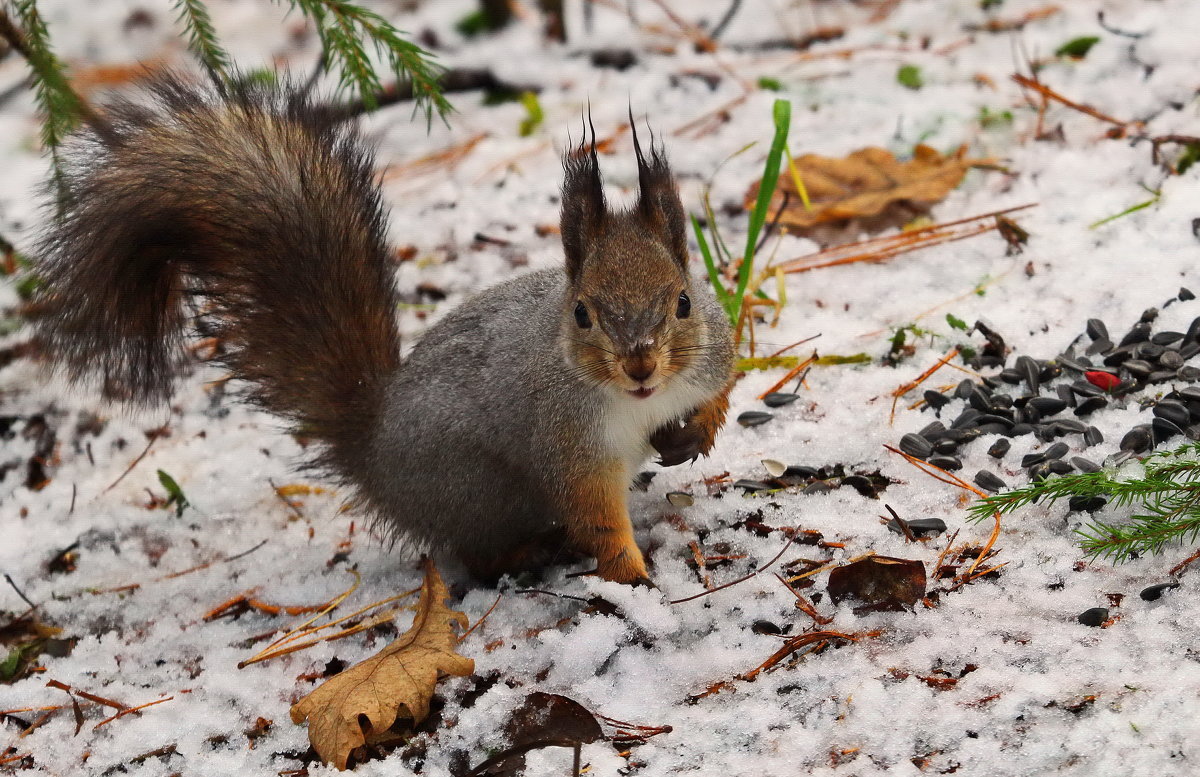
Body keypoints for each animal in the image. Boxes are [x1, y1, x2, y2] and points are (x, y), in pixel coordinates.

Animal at [35, 75, 729, 585]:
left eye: (685, 302)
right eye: (582, 312)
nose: (640, 364)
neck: (636, 403)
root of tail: (370, 449)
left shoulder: (711, 358)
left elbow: (719, 395)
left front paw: (691, 436)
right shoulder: (569, 445)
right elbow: (597, 516)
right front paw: (631, 576)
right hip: (478, 490)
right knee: (471, 550)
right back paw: (527, 553)